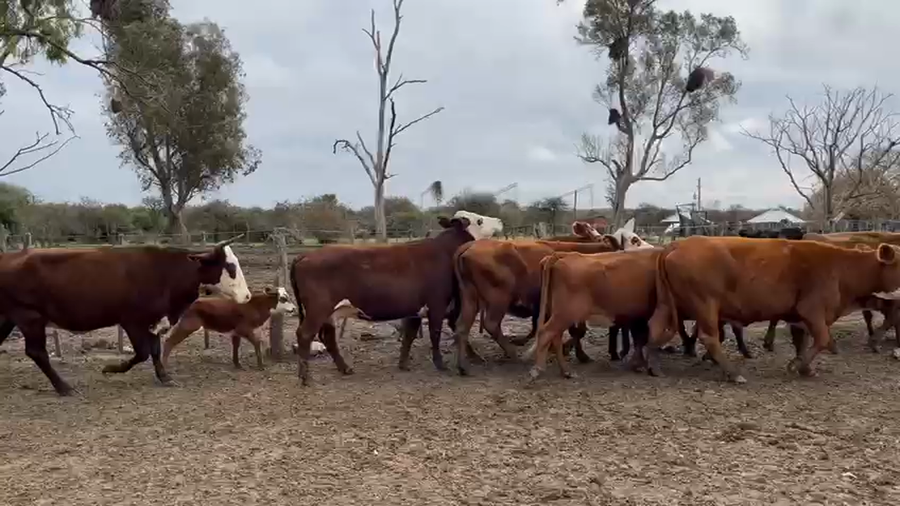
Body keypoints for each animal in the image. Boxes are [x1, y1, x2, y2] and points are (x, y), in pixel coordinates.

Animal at [0, 237, 251, 395]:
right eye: (230, 267)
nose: (247, 296)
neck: (165, 272)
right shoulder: (132, 321)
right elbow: (142, 353)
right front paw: (111, 368)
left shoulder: (153, 320)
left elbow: (155, 350)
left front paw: (164, 377)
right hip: (29, 318)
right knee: (37, 353)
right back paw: (64, 388)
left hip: (9, 319)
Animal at [161, 287, 296, 370]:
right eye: (283, 298)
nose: (294, 308)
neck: (254, 307)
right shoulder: (244, 329)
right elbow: (257, 343)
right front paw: (261, 366)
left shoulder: (235, 332)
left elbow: (236, 346)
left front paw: (237, 365)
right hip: (188, 326)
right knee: (169, 341)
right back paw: (164, 365)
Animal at [290, 210, 503, 385]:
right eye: (479, 220)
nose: (500, 220)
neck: (444, 252)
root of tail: (305, 256)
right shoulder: (438, 304)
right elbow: (435, 333)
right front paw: (440, 364)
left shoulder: (417, 309)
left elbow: (409, 335)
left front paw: (403, 364)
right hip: (318, 308)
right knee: (305, 334)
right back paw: (305, 377)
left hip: (329, 313)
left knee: (328, 338)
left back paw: (345, 368)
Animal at [645, 236, 900, 383]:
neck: (842, 266)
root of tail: (678, 243)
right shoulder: (813, 310)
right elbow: (823, 339)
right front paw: (799, 366)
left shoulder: (800, 316)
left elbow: (802, 340)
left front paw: (804, 367)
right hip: (705, 305)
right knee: (710, 338)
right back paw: (733, 373)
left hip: (668, 304)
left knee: (654, 328)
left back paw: (654, 366)